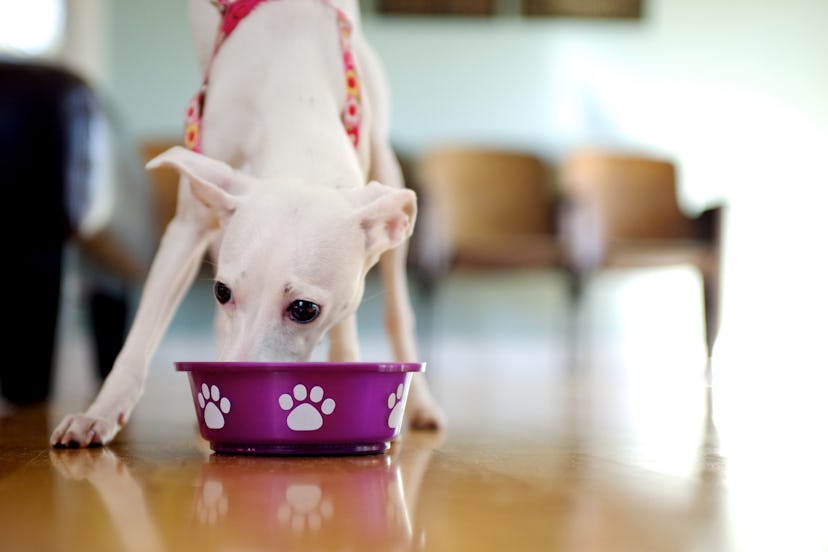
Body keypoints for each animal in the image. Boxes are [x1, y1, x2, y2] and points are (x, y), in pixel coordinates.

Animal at [50, 0, 446, 448]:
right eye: (221, 291)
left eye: (304, 309)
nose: (235, 386)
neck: (293, 89)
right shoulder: (187, 227)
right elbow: (138, 338)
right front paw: (98, 413)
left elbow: (348, 332)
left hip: (384, 164)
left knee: (398, 313)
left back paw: (422, 404)